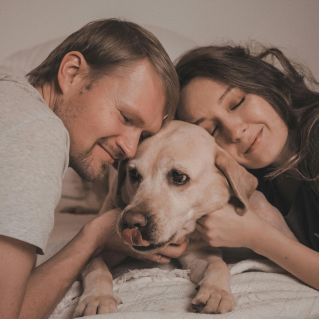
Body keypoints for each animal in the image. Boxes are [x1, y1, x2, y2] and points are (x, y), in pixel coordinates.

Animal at [74, 120, 258, 318]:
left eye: (179, 177)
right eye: (134, 174)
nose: (131, 221)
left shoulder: (197, 254)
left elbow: (218, 265)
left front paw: (216, 291)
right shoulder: (99, 248)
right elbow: (96, 268)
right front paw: (97, 297)